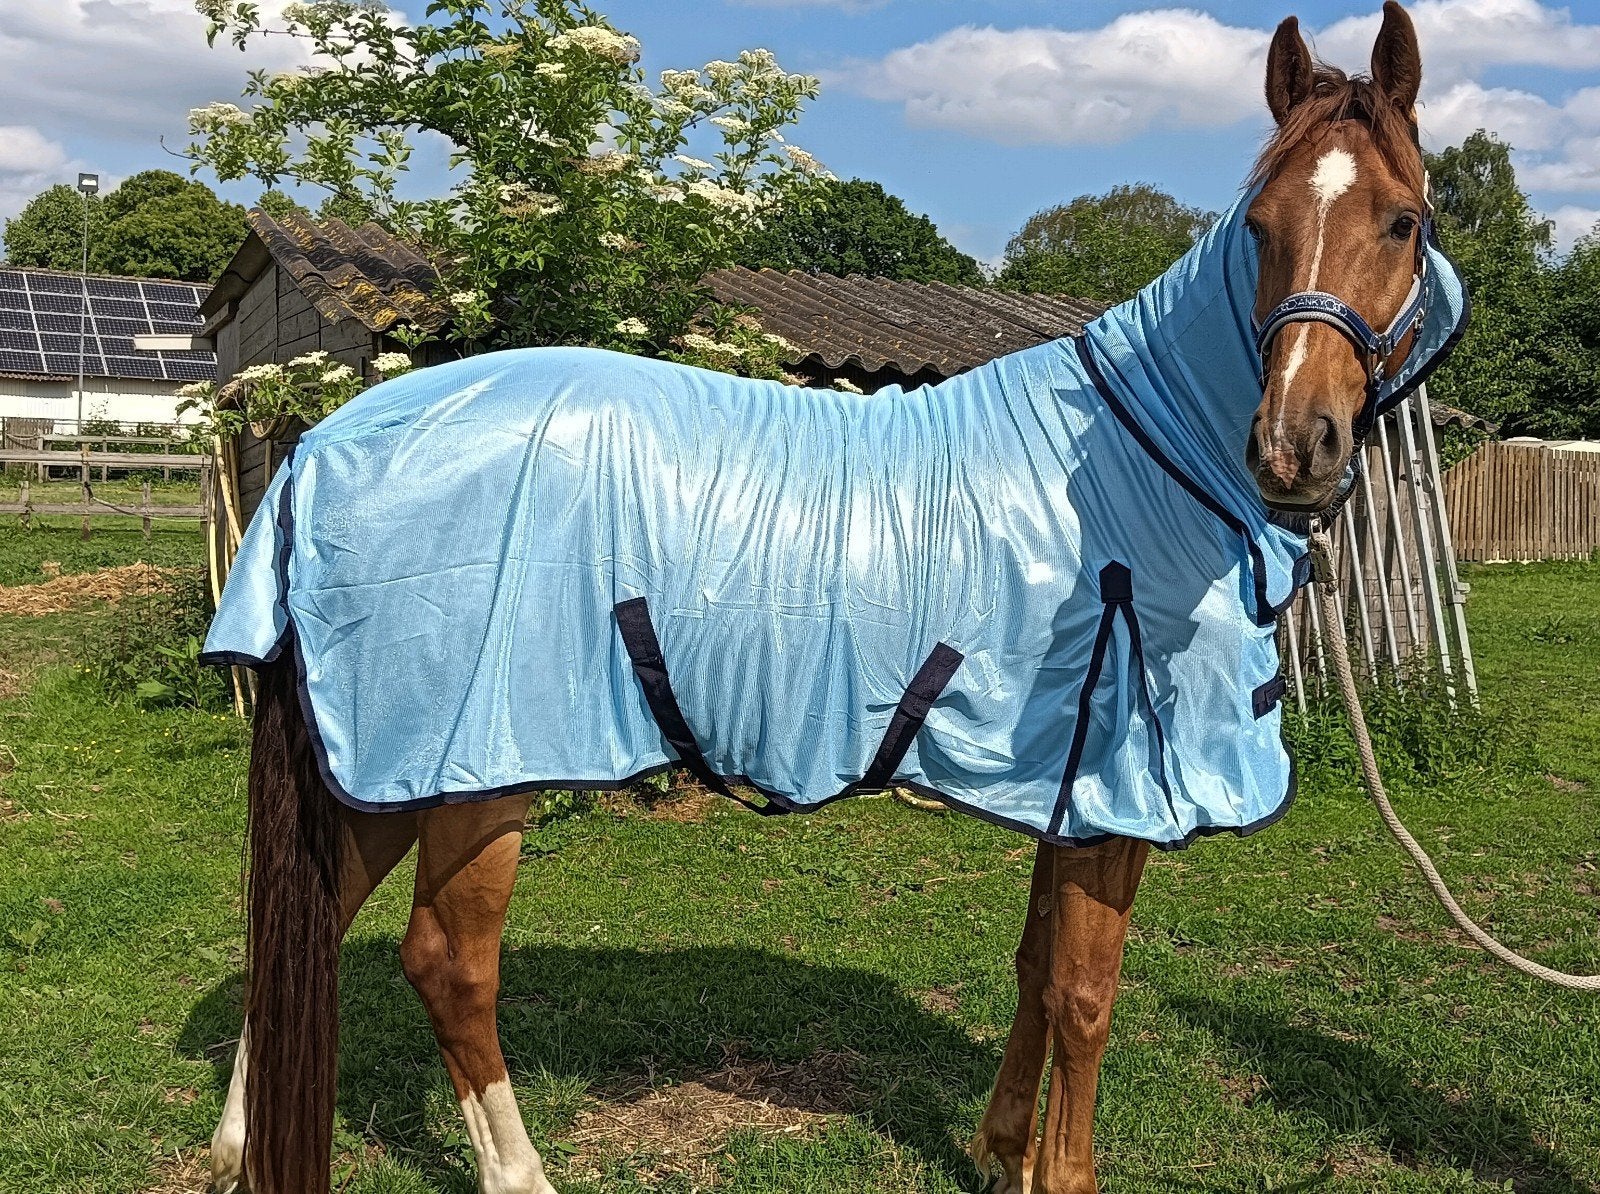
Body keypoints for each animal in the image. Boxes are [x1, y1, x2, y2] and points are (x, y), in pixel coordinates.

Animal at [203, 5, 1461, 1191]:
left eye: (1402, 220)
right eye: (1257, 228)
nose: (1293, 446)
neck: (1131, 453)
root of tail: (322, 447)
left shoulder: (1066, 786)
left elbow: (1034, 970)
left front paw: (1000, 1150)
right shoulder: (1117, 799)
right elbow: (1084, 994)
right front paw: (1058, 1171)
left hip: (384, 762)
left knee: (307, 921)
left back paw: (236, 1143)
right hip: (475, 763)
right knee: (446, 964)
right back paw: (520, 1173)